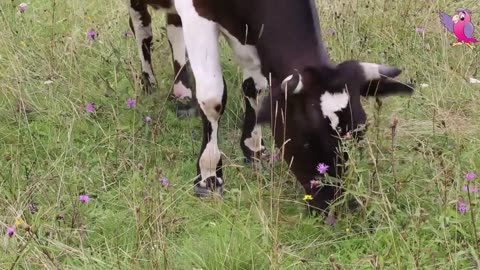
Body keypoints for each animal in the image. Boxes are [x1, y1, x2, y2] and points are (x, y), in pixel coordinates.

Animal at [125, 0, 414, 215]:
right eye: (306, 138)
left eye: (358, 134)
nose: (335, 205)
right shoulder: (198, 13)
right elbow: (212, 97)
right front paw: (208, 176)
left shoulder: (247, 28)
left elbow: (254, 86)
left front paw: (254, 150)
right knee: (141, 26)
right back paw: (149, 82)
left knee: (173, 29)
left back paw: (182, 94)